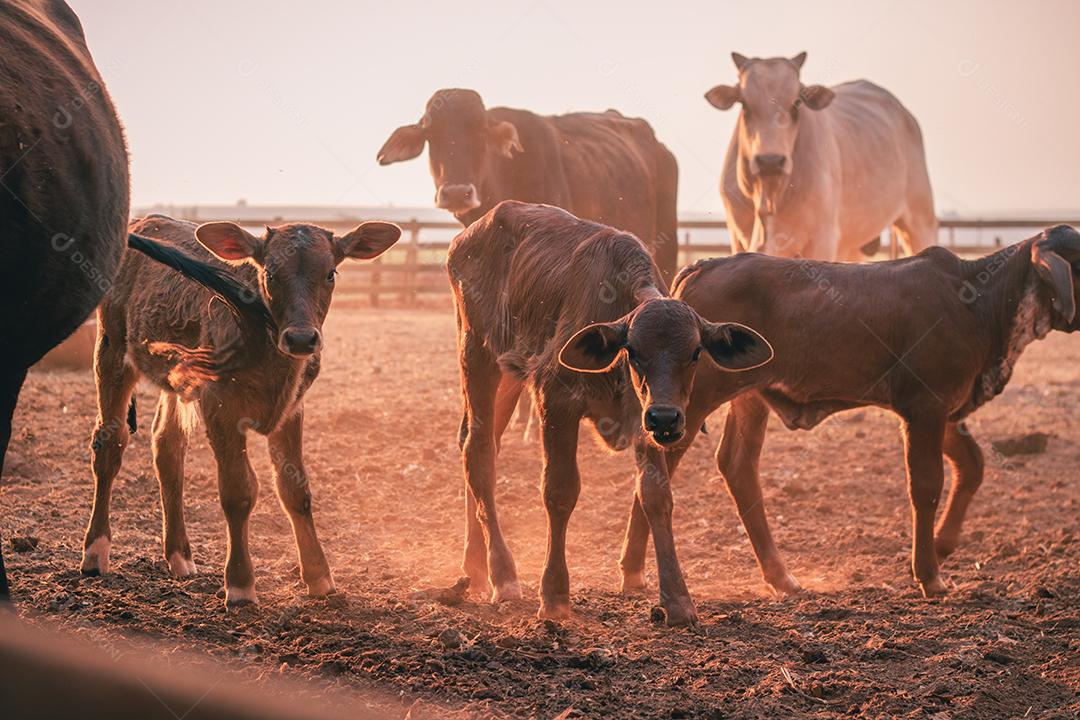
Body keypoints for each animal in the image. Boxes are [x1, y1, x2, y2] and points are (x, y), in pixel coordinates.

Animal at [81, 215, 401, 606]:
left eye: (330, 273)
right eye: (270, 273)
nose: (301, 338)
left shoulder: (292, 408)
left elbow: (295, 489)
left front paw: (319, 576)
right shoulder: (219, 403)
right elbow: (238, 490)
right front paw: (240, 584)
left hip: (174, 376)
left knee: (167, 448)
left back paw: (179, 556)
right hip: (110, 350)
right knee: (109, 445)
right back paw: (95, 552)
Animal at [448, 201, 773, 626]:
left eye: (695, 352)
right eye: (632, 350)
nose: (666, 419)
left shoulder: (643, 419)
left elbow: (656, 496)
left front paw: (677, 600)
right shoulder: (556, 400)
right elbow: (560, 491)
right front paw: (554, 595)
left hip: (509, 372)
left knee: (477, 444)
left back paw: (475, 566)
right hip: (476, 354)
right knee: (479, 452)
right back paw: (502, 574)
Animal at [618, 226, 1080, 600]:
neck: (976, 301)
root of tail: (706, 266)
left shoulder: (942, 409)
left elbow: (973, 464)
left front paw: (944, 543)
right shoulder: (924, 406)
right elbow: (927, 484)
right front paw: (929, 574)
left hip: (749, 395)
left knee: (737, 465)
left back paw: (780, 577)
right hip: (688, 404)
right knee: (659, 464)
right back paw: (636, 570)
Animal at [705, 52, 937, 261]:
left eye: (796, 103)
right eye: (744, 103)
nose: (770, 161)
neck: (770, 194)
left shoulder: (823, 239)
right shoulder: (737, 238)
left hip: (919, 221)